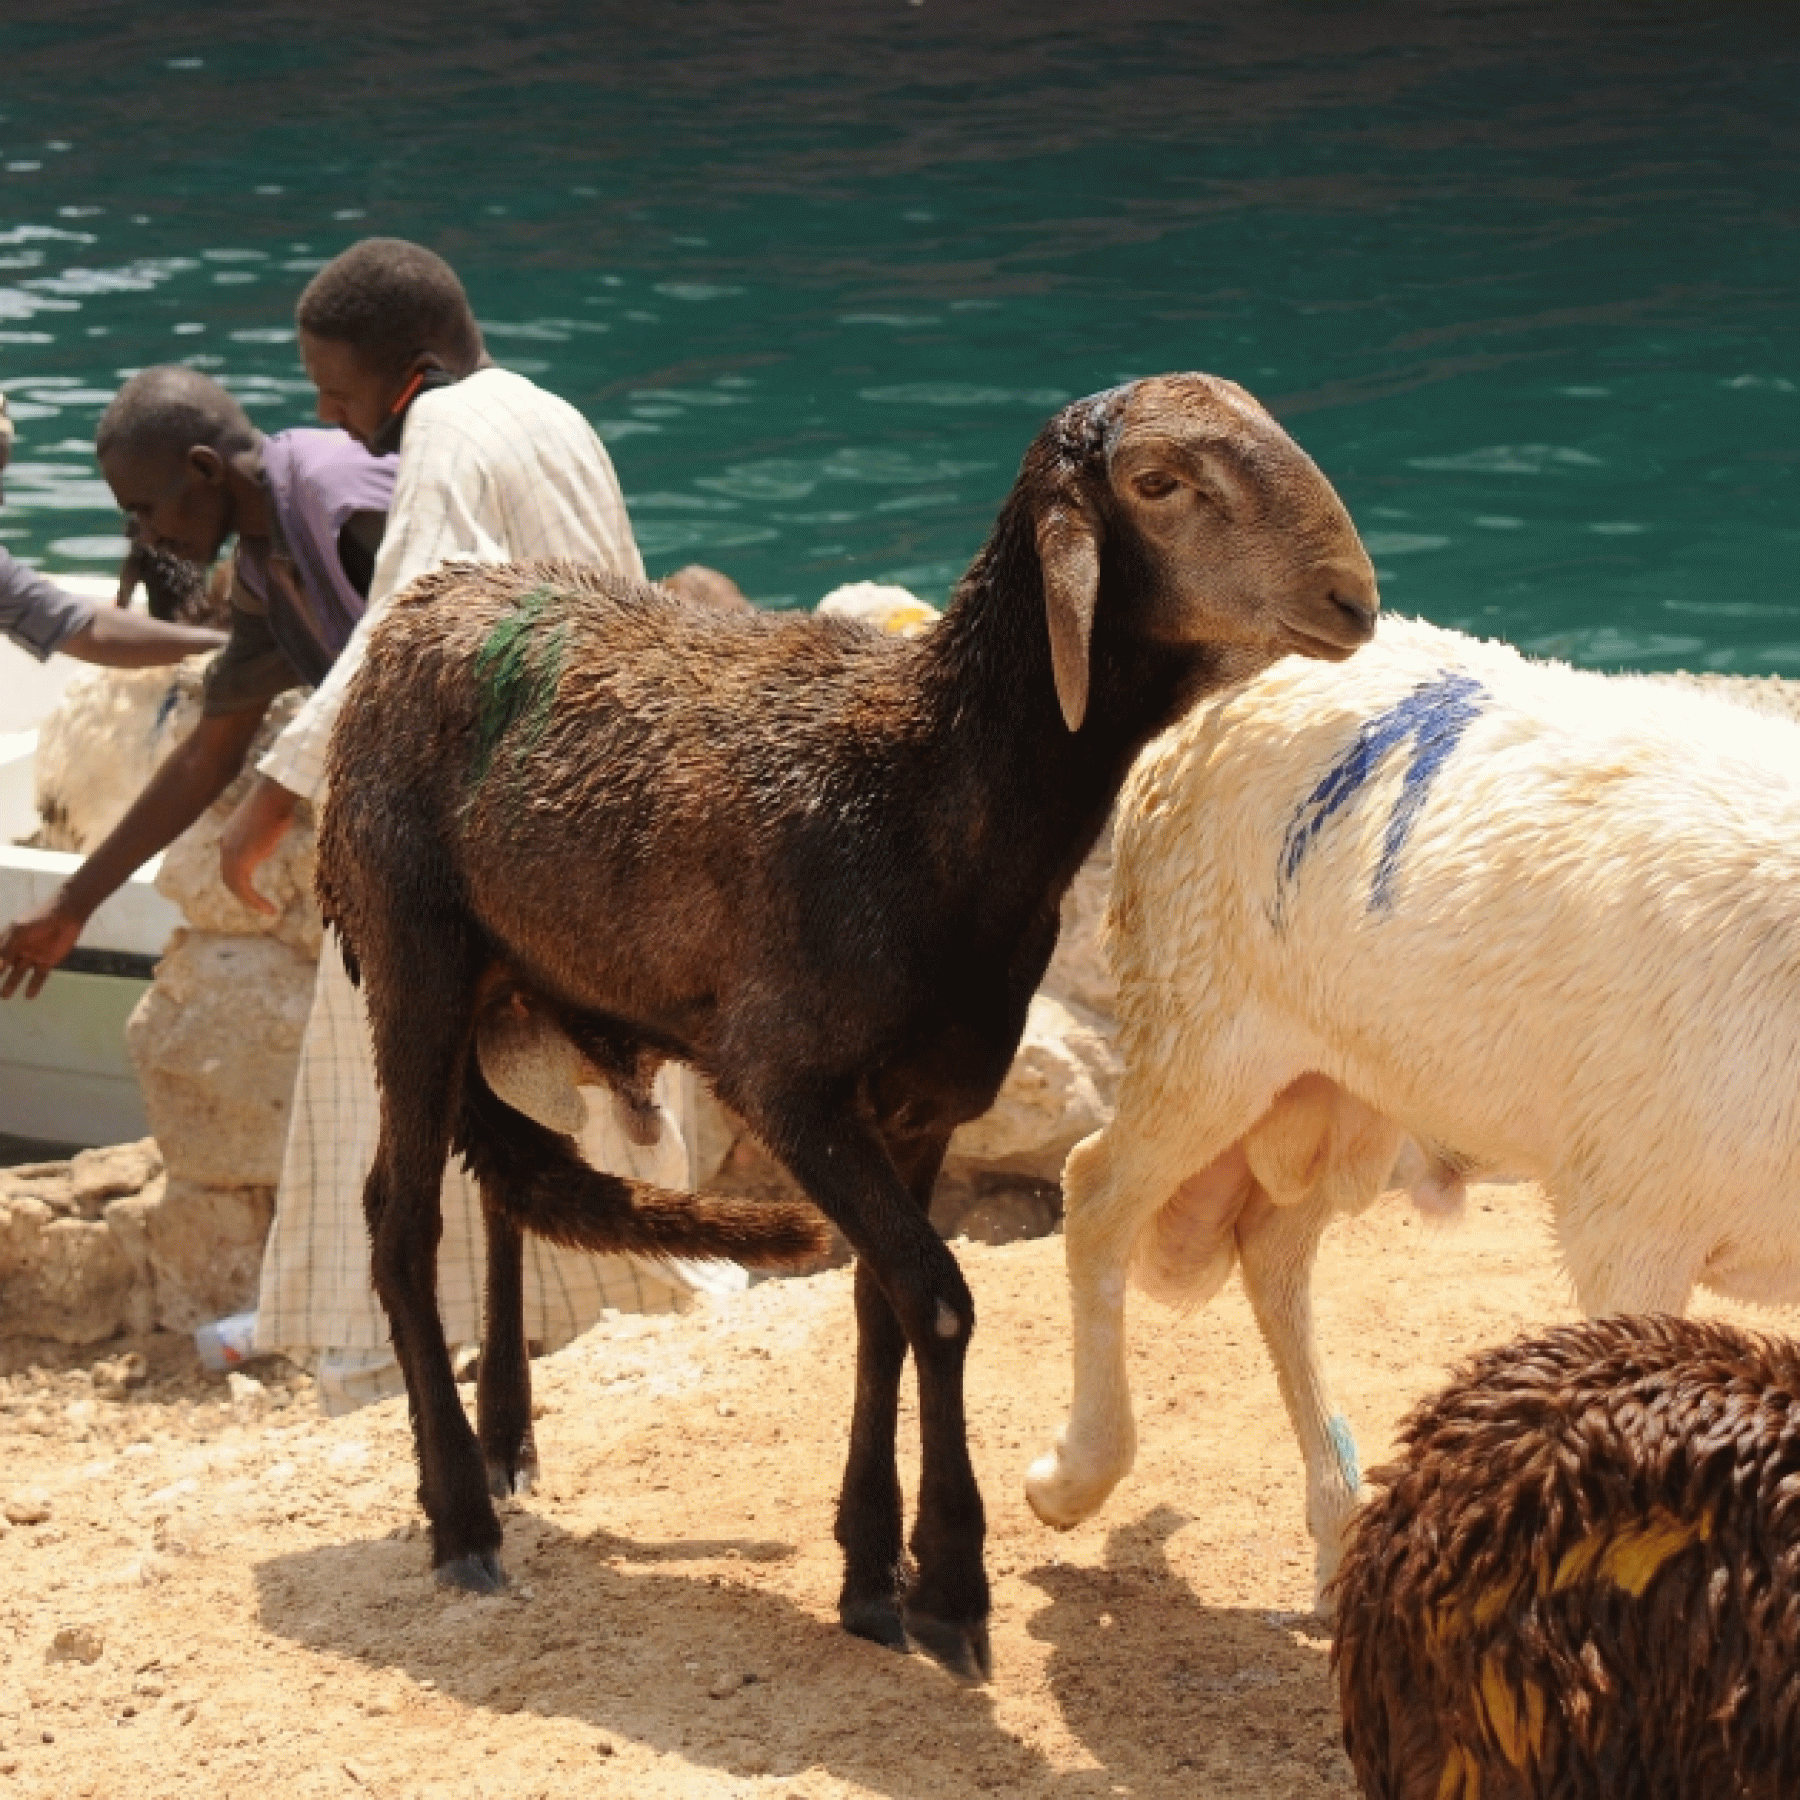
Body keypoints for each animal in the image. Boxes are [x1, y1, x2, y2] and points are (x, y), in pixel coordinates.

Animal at [314, 373, 1379, 1679]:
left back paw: (508, 1443)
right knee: (398, 1219)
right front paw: (952, 1586)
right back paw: (462, 1519)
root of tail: (418, 605)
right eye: (1160, 483)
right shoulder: (787, 1078)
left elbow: (883, 1306)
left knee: (504, 1187)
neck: (934, 786)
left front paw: (872, 1572)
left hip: (514, 989)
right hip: (409, 953)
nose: (1355, 598)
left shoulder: (924, 1099)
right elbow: (939, 1296)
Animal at [1026, 612, 1800, 1602]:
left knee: (1271, 1248)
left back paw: (1334, 1523)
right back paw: (1075, 1476)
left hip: (1343, 1083)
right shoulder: (1632, 1217)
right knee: (1097, 1190)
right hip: (1203, 1020)